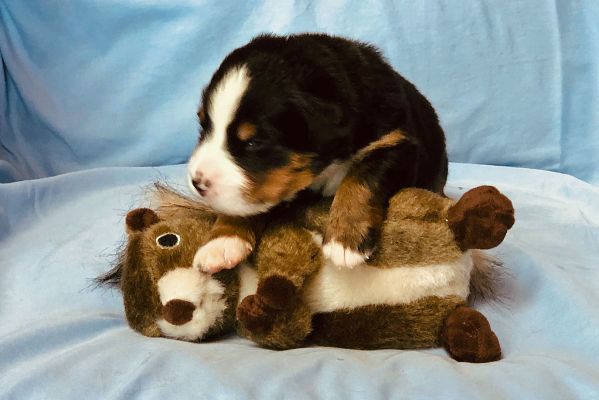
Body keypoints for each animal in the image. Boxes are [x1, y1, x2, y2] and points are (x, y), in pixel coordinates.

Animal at [186, 33, 446, 272]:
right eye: (204, 127)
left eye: (253, 142)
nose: (197, 183)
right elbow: (246, 202)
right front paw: (222, 241)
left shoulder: (396, 142)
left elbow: (360, 179)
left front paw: (345, 240)